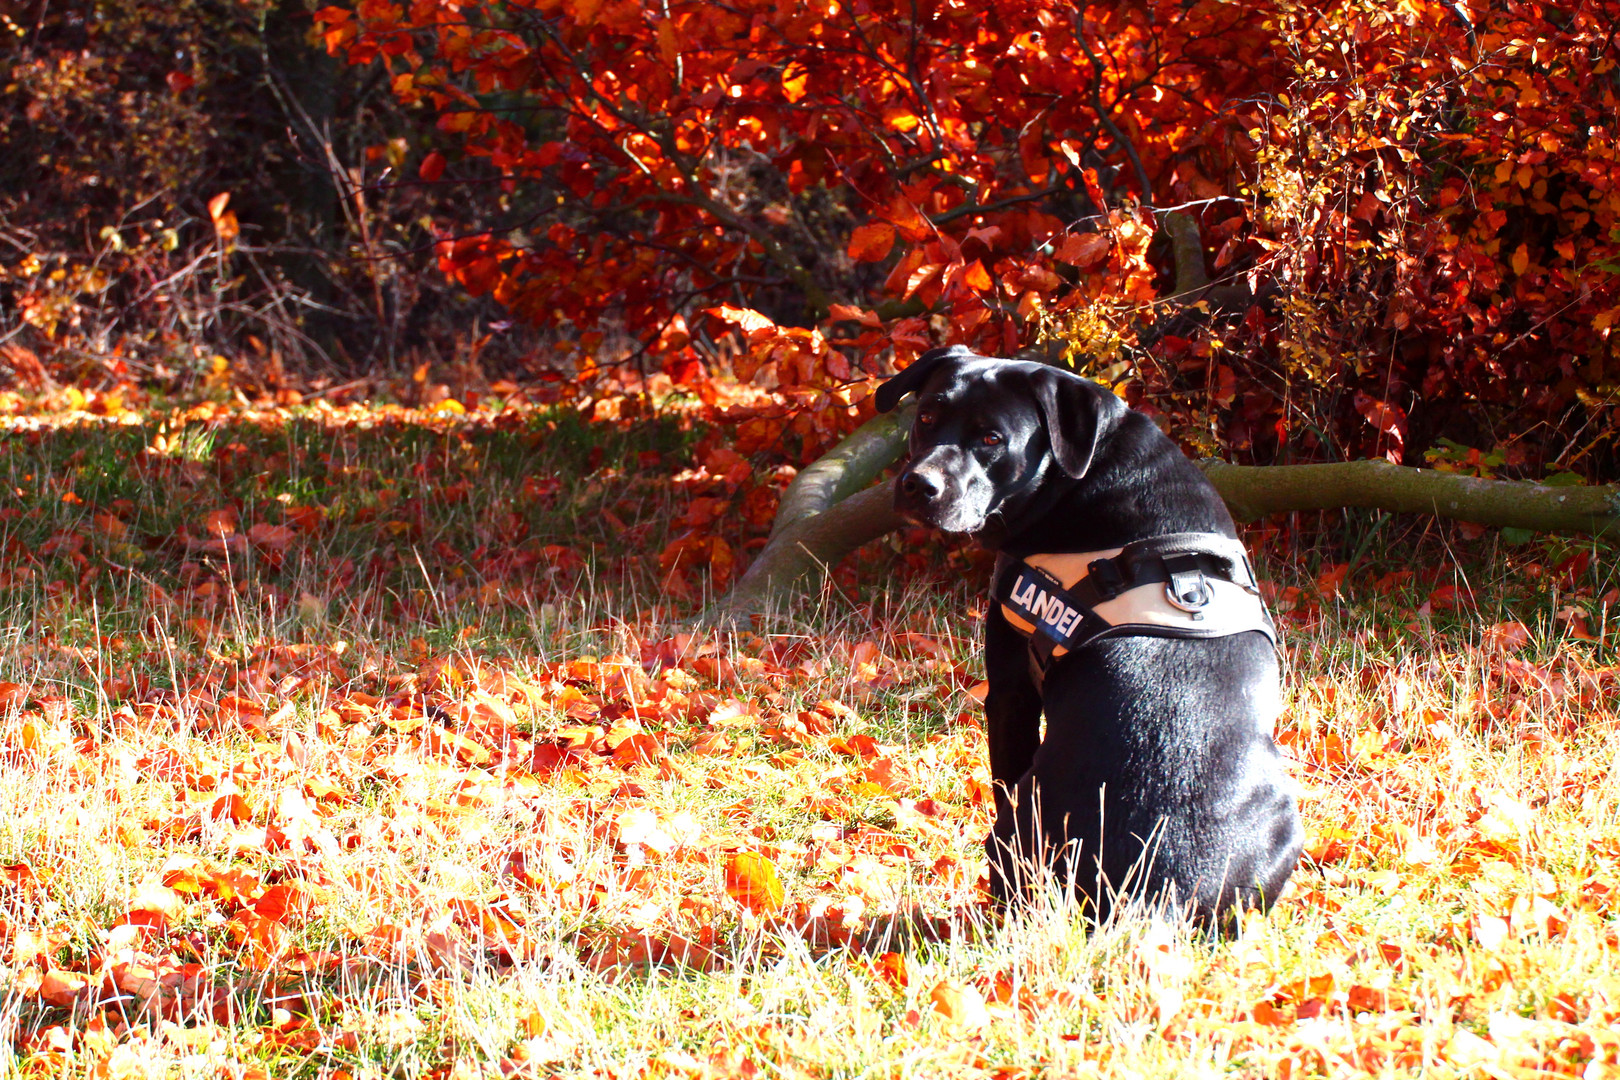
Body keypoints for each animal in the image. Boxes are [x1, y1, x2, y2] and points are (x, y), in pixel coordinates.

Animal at [874, 348, 1302, 932]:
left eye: (991, 438)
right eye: (926, 417)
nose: (920, 486)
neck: (1087, 475)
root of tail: (1153, 898)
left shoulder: (1009, 691)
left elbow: (1001, 777)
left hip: (1017, 829)